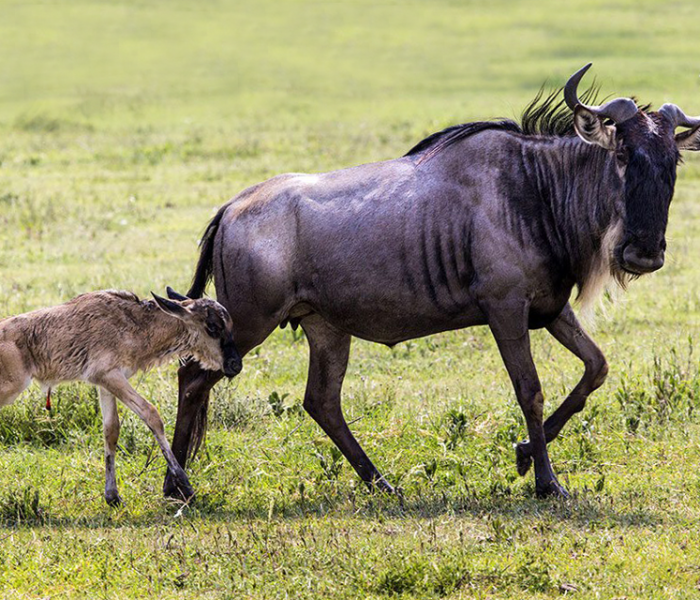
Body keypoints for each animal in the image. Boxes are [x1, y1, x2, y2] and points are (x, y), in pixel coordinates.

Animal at [0, 288, 241, 504]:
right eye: (212, 327)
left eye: (229, 326)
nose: (235, 364)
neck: (134, 325)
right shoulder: (110, 376)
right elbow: (152, 414)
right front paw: (185, 485)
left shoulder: (105, 383)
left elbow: (111, 430)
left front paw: (112, 496)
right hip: (10, 387)